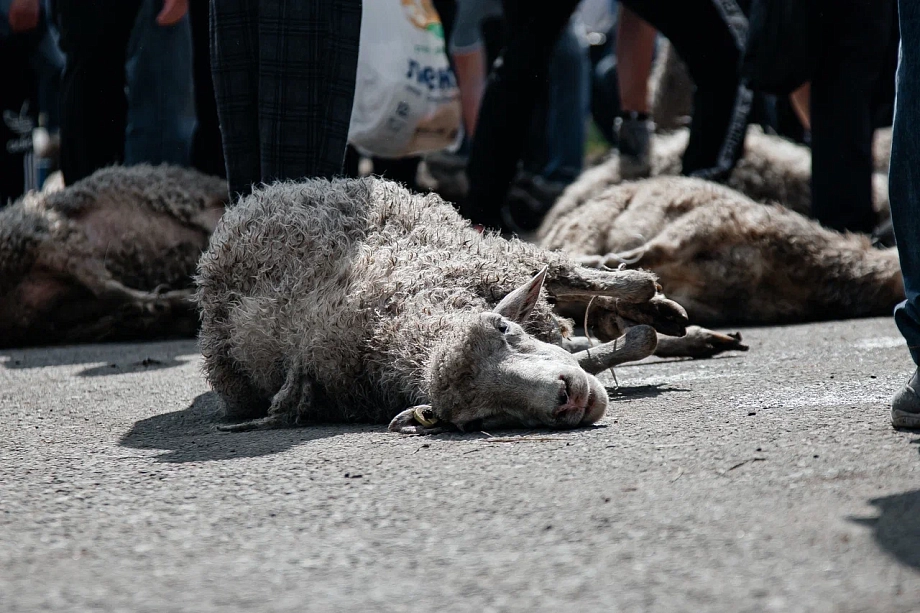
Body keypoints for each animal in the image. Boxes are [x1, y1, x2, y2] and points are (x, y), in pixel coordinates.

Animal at [0, 165, 228, 346]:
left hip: (52, 308)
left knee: (103, 301)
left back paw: (148, 313)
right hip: (51, 238)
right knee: (107, 289)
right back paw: (165, 303)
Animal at [196, 177, 748, 436]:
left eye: (502, 328)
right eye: (481, 418)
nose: (566, 399)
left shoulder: (491, 267)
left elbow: (619, 285)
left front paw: (654, 306)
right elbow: (602, 346)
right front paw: (642, 334)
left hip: (479, 241)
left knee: (579, 275)